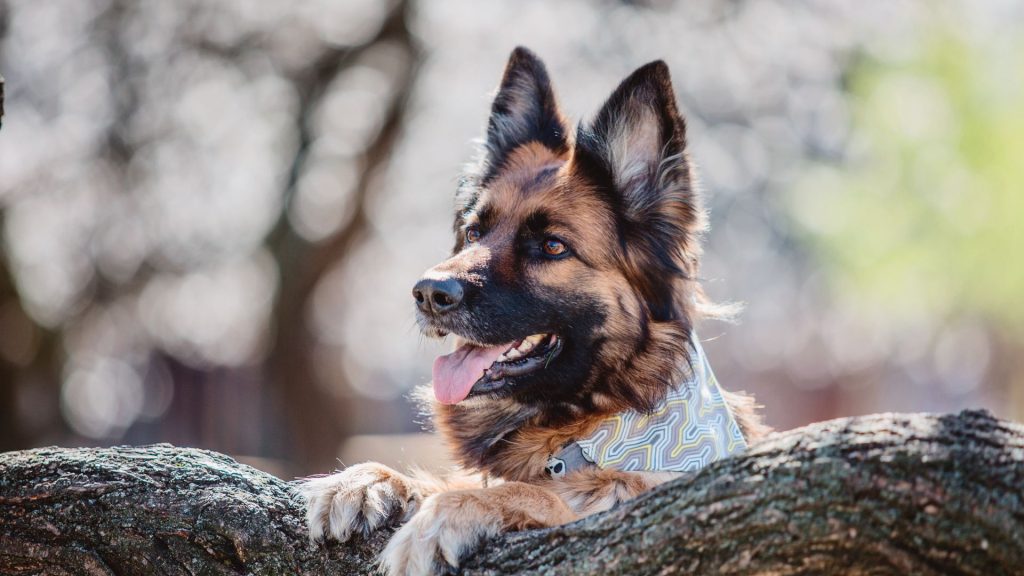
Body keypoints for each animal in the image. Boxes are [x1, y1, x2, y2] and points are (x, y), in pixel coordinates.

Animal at [303, 45, 770, 573]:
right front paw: (370, 481)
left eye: (551, 246)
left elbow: (543, 493)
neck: (595, 417)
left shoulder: (651, 495)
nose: (427, 293)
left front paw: (444, 514)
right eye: (473, 232)